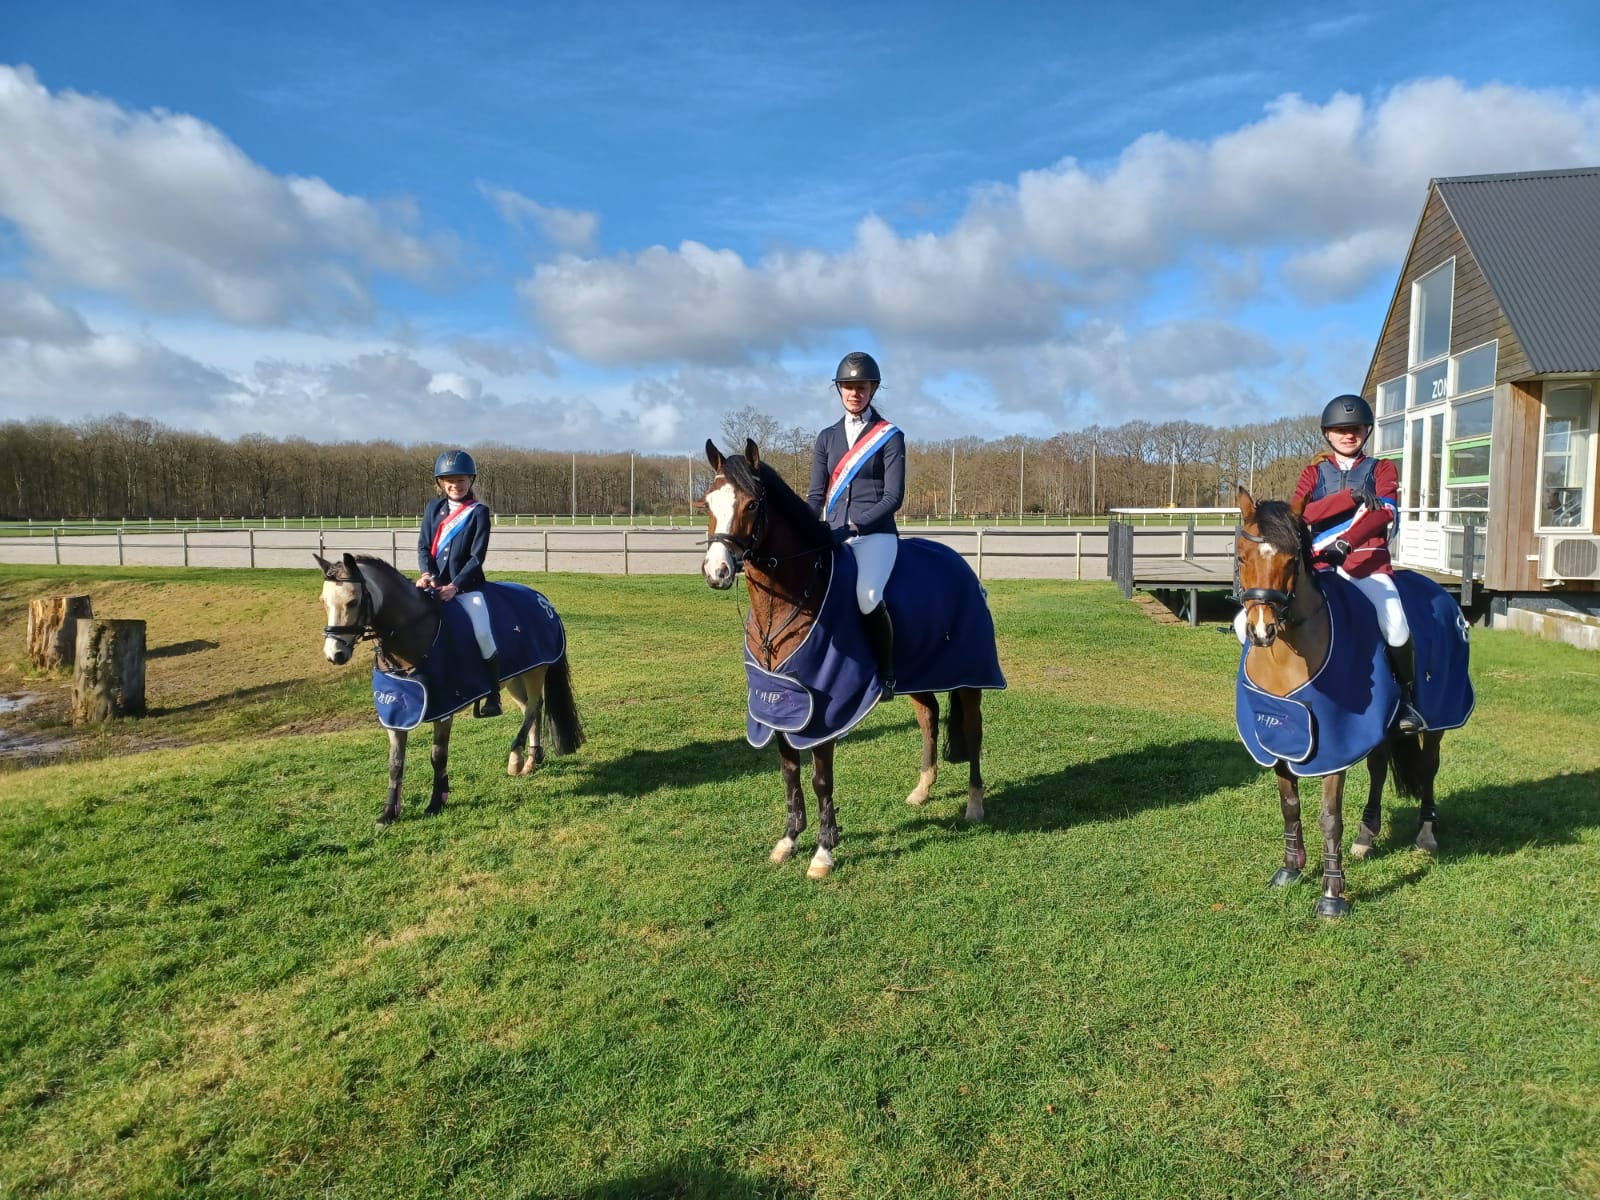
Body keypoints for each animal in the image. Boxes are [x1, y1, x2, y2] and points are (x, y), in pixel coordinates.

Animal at [315, 553, 585, 825]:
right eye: (323, 602)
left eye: (352, 601)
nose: (334, 654)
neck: (412, 634)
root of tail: (540, 599)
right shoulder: (397, 714)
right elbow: (395, 762)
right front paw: (389, 812)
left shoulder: (444, 708)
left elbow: (438, 756)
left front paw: (437, 801)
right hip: (516, 677)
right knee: (531, 709)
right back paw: (531, 760)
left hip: (536, 670)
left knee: (532, 709)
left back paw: (516, 759)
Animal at [700, 441, 998, 883]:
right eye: (707, 502)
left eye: (752, 504)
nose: (716, 571)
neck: (790, 599)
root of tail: (957, 562)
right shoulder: (781, 704)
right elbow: (789, 772)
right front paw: (788, 840)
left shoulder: (825, 711)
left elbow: (821, 779)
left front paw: (823, 851)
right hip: (917, 676)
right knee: (928, 718)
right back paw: (922, 790)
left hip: (969, 677)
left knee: (974, 733)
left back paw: (975, 805)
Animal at [1228, 489, 1446, 921]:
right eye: (1242, 556)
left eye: (1292, 559)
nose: (1260, 630)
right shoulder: (1278, 740)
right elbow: (1289, 805)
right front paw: (1290, 869)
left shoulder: (1334, 746)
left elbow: (1329, 818)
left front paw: (1332, 895)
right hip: (1381, 727)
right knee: (1378, 769)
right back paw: (1367, 836)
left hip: (1440, 720)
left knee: (1428, 768)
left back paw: (1426, 835)